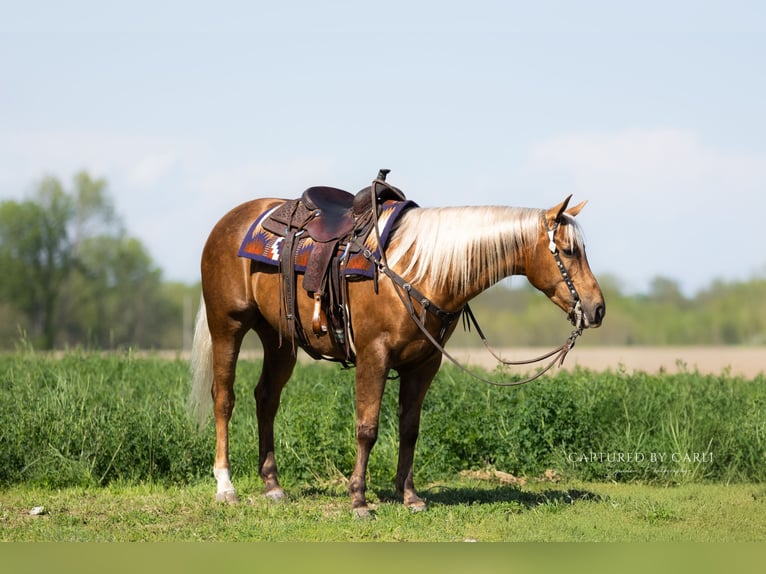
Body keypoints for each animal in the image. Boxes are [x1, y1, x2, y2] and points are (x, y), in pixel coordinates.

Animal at [189, 183, 605, 517]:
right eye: (568, 250)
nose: (597, 308)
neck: (420, 268)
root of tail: (231, 221)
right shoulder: (373, 356)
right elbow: (367, 428)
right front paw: (358, 500)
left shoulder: (424, 364)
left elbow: (409, 428)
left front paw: (410, 496)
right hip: (228, 326)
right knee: (224, 399)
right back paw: (225, 487)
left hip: (280, 340)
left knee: (266, 399)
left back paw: (273, 486)